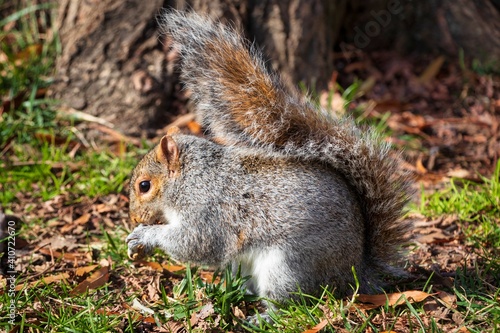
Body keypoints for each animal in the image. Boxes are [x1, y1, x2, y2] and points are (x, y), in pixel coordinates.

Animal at [127, 10, 412, 304]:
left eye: (144, 186)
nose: (134, 218)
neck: (191, 176)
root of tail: (354, 272)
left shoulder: (207, 211)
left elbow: (196, 244)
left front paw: (145, 235)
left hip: (288, 265)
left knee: (289, 299)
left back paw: (263, 312)